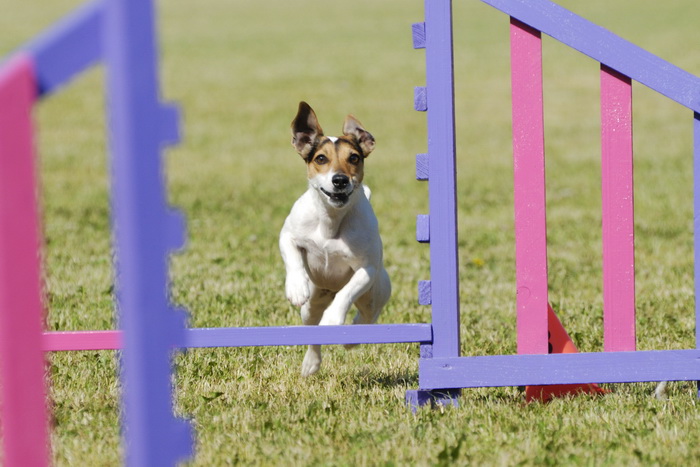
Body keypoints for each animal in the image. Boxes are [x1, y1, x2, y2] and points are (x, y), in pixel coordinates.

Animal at [279, 102, 391, 376]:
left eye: (354, 158)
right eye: (321, 158)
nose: (339, 180)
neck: (332, 219)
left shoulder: (367, 269)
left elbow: (348, 291)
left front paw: (333, 319)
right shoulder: (288, 235)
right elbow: (293, 258)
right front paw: (295, 287)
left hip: (375, 294)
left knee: (367, 316)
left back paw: (352, 335)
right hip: (312, 305)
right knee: (313, 332)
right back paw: (311, 363)